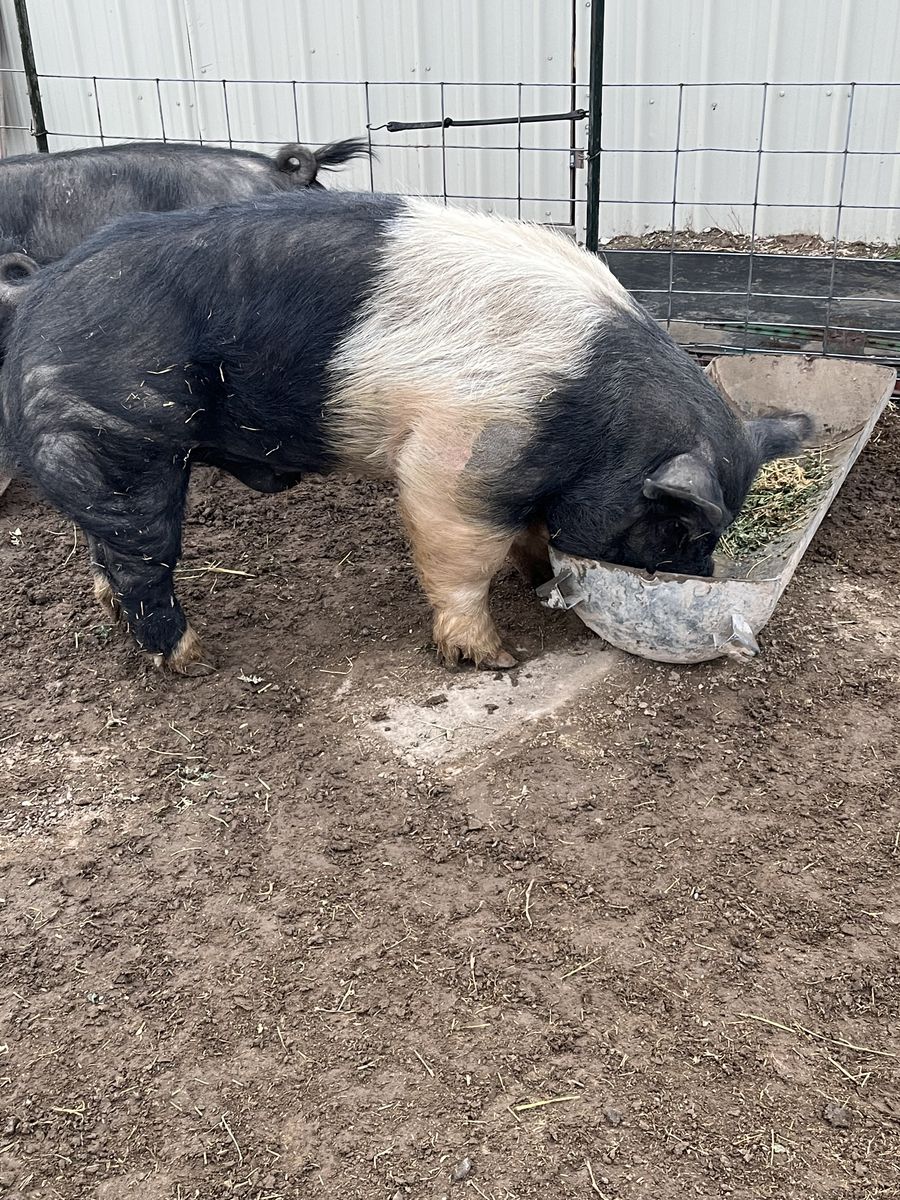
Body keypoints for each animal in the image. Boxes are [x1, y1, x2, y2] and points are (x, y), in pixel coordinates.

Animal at [0, 190, 812, 673]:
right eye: (678, 527)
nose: (697, 578)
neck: (594, 418)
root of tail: (37, 297)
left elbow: (531, 533)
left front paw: (537, 577)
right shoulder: (464, 448)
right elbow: (459, 550)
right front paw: (496, 658)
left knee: (105, 550)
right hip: (121, 439)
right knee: (141, 560)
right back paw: (198, 658)